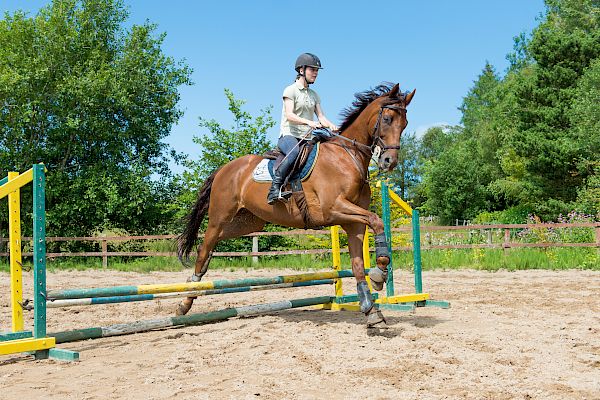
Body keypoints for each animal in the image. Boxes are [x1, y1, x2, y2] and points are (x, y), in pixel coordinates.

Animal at [176, 83, 414, 326]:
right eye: (387, 119)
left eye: (404, 124)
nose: (389, 162)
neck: (347, 157)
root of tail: (224, 169)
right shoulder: (333, 209)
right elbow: (376, 220)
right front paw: (379, 273)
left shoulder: (353, 222)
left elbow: (358, 262)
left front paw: (371, 307)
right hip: (219, 216)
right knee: (204, 249)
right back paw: (184, 302)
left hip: (247, 223)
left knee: (209, 247)